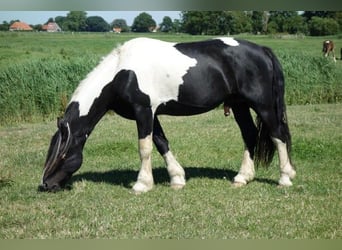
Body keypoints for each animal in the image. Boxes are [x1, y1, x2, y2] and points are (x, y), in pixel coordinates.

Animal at [38, 37, 296, 193]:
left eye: (62, 154)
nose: (45, 184)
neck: (121, 71)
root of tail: (262, 50)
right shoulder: (151, 114)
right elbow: (161, 143)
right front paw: (177, 178)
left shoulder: (143, 111)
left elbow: (145, 147)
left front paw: (142, 184)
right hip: (240, 105)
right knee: (250, 135)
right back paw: (242, 177)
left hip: (262, 105)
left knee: (278, 135)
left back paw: (285, 178)